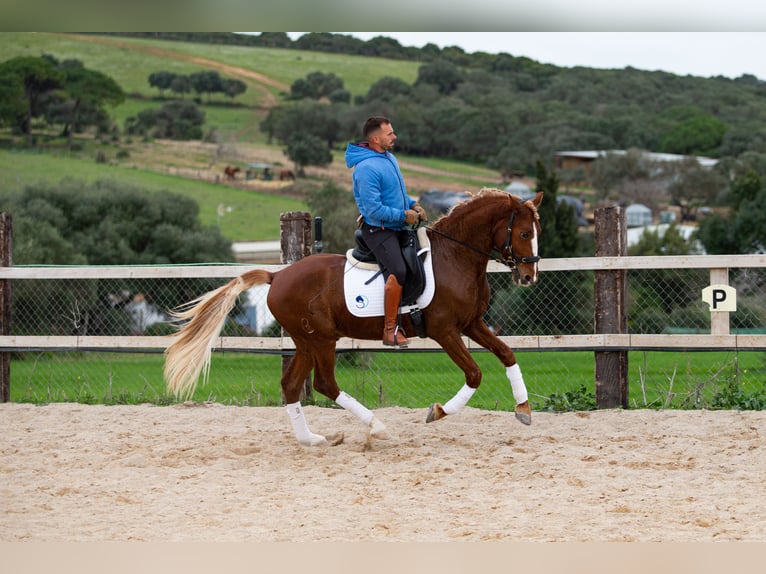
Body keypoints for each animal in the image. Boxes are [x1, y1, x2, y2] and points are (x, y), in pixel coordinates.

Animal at [164, 190, 544, 450]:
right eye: (524, 234)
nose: (529, 277)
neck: (456, 257)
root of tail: (277, 275)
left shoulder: (471, 325)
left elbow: (507, 354)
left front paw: (523, 408)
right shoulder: (445, 331)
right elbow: (475, 374)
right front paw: (437, 411)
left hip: (306, 341)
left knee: (292, 385)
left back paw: (312, 440)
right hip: (322, 339)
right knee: (324, 384)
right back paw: (377, 427)